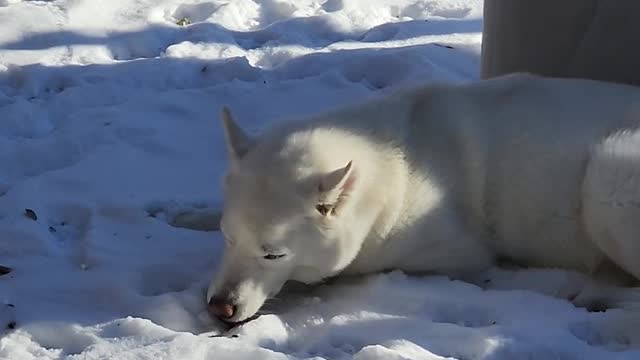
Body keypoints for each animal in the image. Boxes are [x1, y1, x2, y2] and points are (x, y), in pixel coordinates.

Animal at [204, 74, 640, 326]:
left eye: (273, 254)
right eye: (229, 239)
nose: (219, 308)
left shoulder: (452, 252)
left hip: (607, 174)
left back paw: (596, 295)